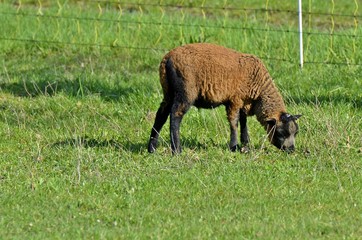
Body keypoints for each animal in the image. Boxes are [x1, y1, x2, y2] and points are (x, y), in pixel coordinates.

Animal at [148, 43, 302, 154]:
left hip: (168, 91)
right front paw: (234, 146)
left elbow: (243, 122)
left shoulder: (244, 102)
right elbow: (234, 122)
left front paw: (246, 144)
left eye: (296, 133)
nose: (291, 150)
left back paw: (152, 148)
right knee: (175, 116)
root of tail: (167, 59)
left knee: (161, 115)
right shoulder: (234, 100)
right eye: (281, 133)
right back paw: (177, 150)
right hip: (185, 91)